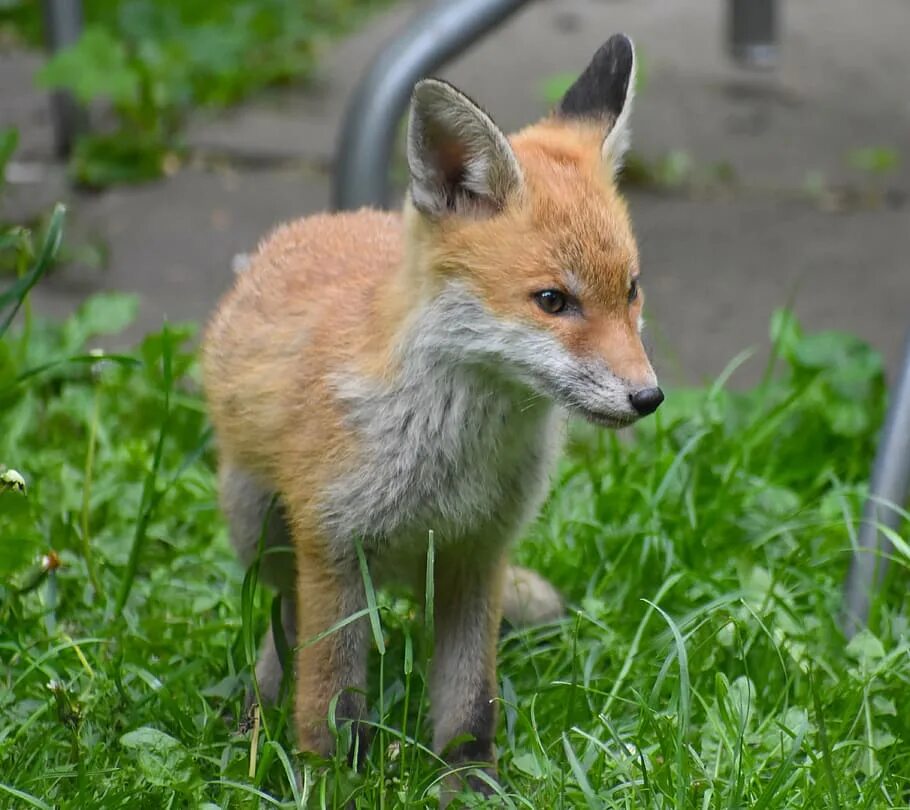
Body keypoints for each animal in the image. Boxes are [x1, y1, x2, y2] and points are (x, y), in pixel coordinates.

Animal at [203, 33, 664, 800]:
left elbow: (470, 708)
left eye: (630, 291)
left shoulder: (480, 553)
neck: (450, 465)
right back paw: (255, 724)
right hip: (260, 530)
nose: (648, 397)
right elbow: (329, 704)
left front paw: (472, 791)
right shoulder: (332, 550)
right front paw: (330, 785)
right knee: (278, 628)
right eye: (553, 301)